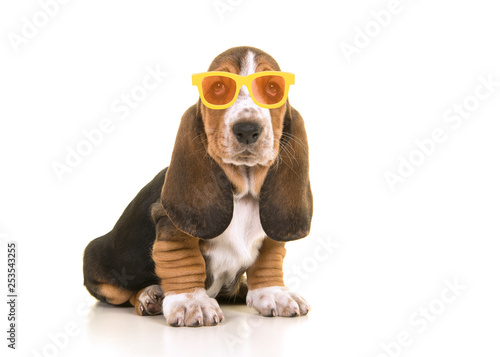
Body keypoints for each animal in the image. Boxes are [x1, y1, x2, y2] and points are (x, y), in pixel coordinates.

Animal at [84, 46, 314, 326]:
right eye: (217, 87)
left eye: (272, 88)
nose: (247, 130)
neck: (243, 193)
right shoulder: (170, 226)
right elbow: (183, 259)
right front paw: (191, 301)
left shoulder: (270, 233)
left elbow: (268, 259)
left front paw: (274, 293)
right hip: (99, 267)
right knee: (125, 295)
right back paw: (149, 296)